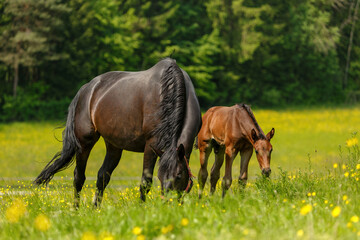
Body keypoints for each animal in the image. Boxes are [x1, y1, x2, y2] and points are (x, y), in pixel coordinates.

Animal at [34, 57, 201, 206]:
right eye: (160, 176)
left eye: (178, 175)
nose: (168, 204)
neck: (167, 93)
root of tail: (87, 88)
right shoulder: (151, 145)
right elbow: (145, 182)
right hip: (84, 142)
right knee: (78, 177)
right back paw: (75, 210)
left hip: (114, 146)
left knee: (102, 176)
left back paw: (96, 209)